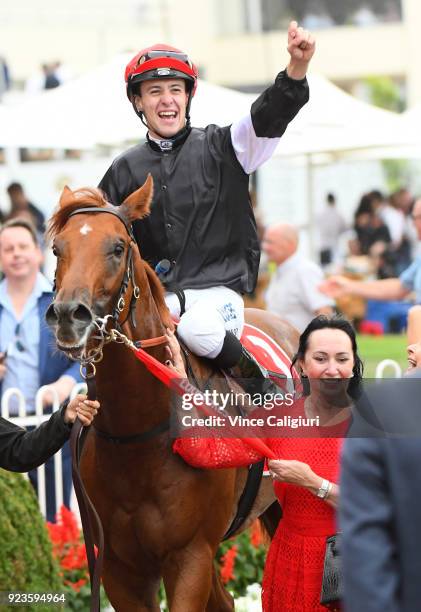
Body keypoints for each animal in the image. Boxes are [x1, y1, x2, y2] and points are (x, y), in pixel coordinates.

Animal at [46, 175, 296, 608]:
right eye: (58, 248)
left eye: (118, 247)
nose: (67, 316)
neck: (137, 437)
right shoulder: (119, 569)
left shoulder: (190, 555)